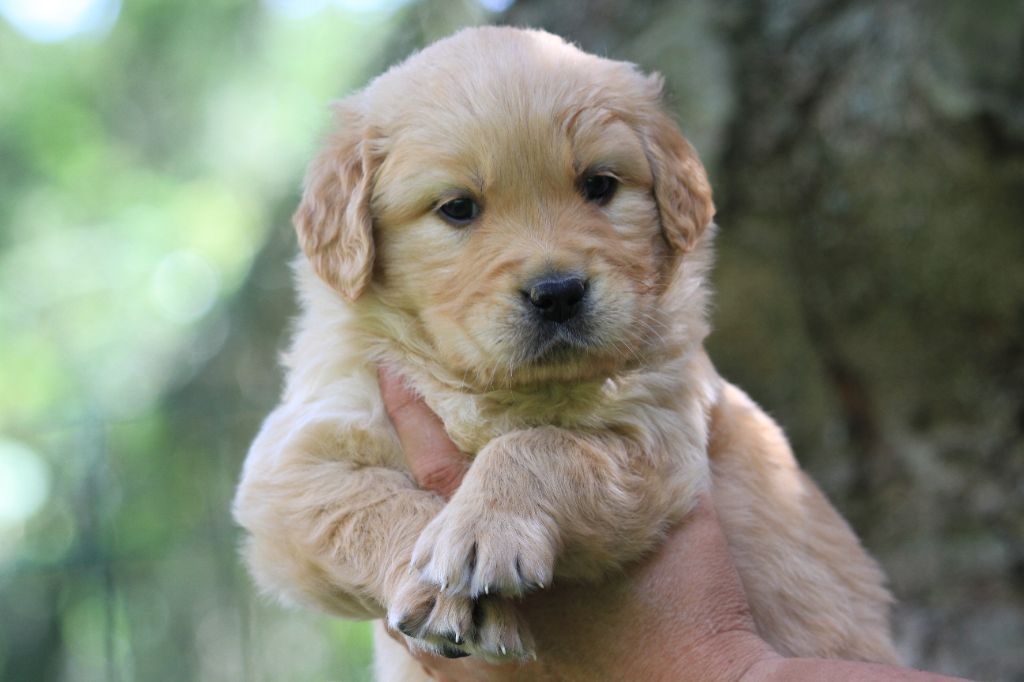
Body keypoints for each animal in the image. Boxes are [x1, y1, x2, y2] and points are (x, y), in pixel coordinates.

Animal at [230, 23, 897, 671]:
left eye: (598, 185)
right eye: (457, 208)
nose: (558, 294)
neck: (492, 388)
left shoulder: (655, 433)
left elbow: (543, 447)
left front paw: (484, 526)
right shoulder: (295, 461)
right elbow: (365, 505)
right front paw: (432, 591)